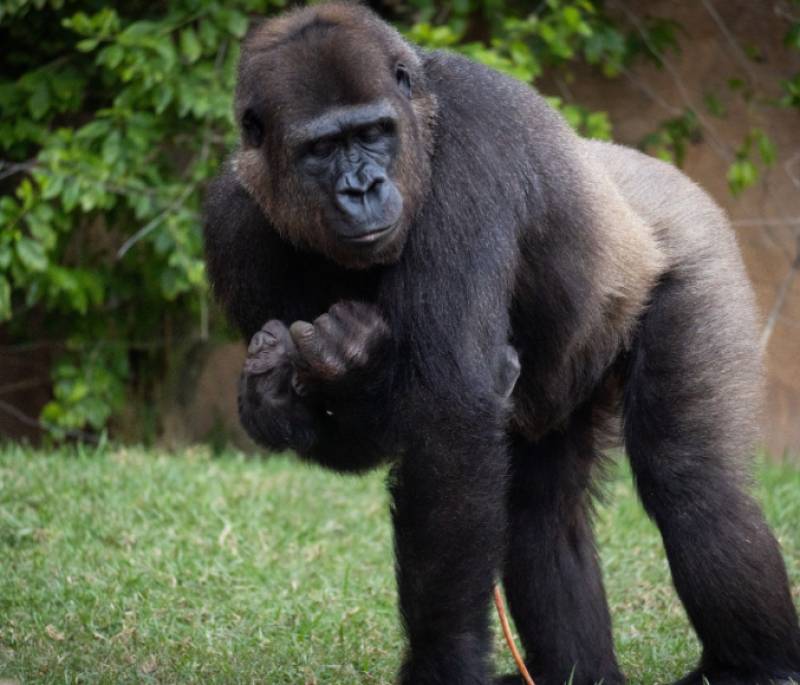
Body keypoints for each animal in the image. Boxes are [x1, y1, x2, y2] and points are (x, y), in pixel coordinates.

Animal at [203, 4, 800, 684]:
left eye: (375, 133)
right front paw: (290, 389)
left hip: (698, 246)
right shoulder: (232, 223)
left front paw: (445, 656)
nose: (363, 186)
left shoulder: (472, 141)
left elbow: (452, 412)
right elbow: (373, 436)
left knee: (693, 481)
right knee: (543, 511)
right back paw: (583, 671)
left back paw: (758, 666)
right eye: (322, 148)